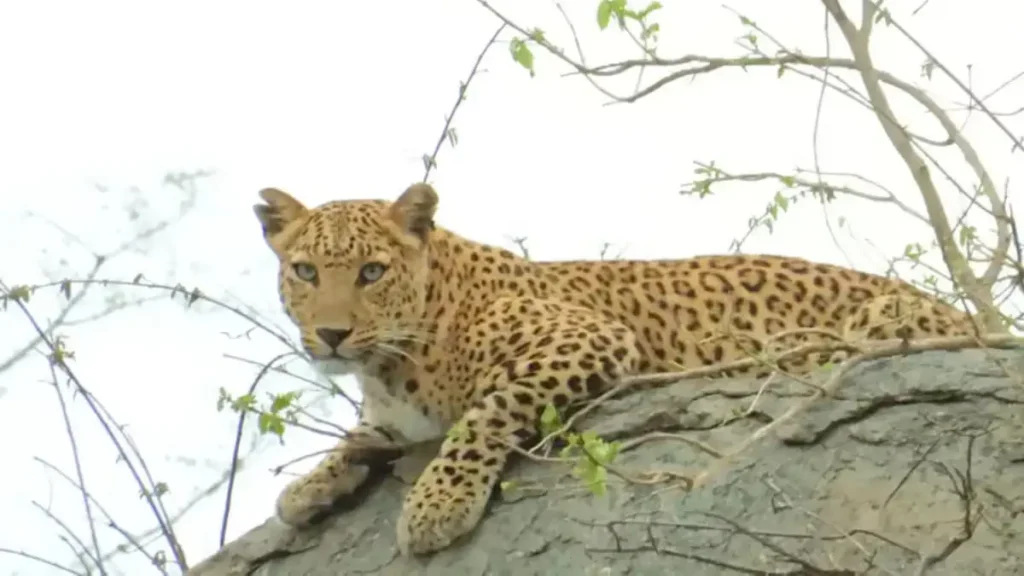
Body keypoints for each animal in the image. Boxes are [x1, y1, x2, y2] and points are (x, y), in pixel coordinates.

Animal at [252, 182, 976, 556]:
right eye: (306, 272)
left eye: (372, 272)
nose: (332, 335)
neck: (390, 359)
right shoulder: (391, 415)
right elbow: (358, 437)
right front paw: (307, 489)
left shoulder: (585, 339)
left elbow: (484, 414)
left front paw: (438, 505)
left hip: (879, 323)